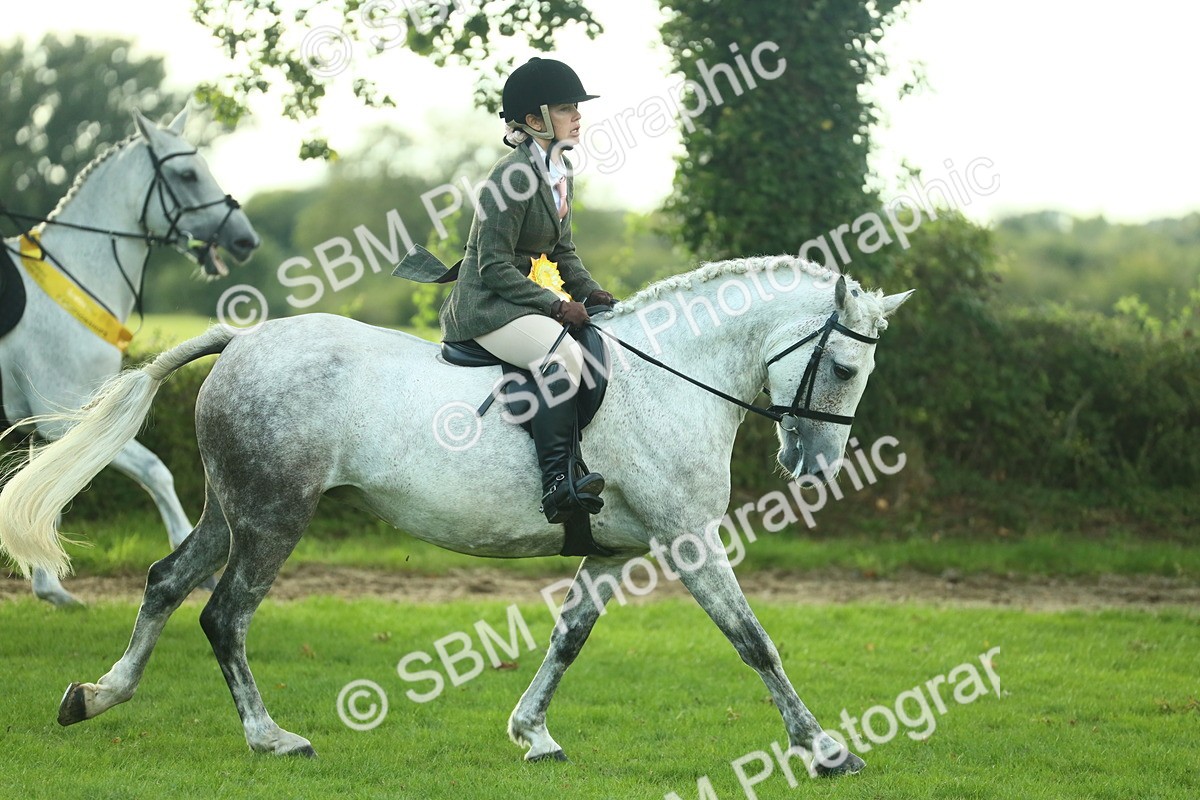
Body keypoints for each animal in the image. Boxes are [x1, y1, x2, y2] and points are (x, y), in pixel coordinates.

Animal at [0, 106, 259, 605]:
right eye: (187, 174)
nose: (245, 241)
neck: (76, 276)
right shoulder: (69, 419)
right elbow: (155, 471)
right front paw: (199, 570)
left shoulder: (49, 425)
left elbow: (42, 491)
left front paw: (50, 588)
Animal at [0, 256, 910, 774]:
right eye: (841, 366)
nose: (814, 467)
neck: (671, 374)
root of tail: (242, 341)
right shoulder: (687, 539)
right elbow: (754, 641)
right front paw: (824, 749)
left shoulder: (619, 549)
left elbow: (569, 638)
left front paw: (532, 735)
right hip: (273, 517)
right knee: (225, 615)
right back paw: (273, 739)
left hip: (234, 511)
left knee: (164, 582)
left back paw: (97, 695)